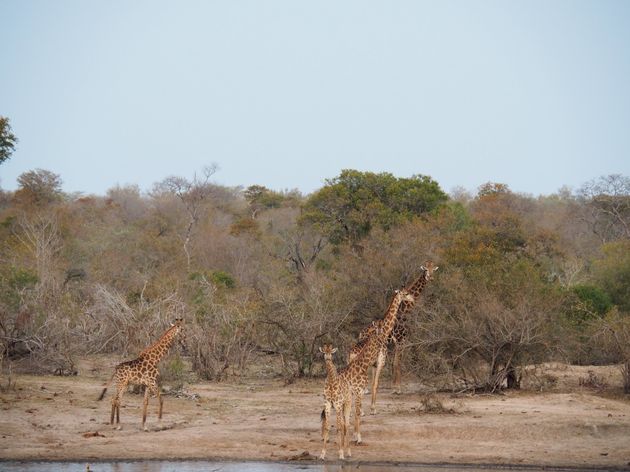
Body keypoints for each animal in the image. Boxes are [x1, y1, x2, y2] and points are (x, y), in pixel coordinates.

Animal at [350, 262, 440, 412]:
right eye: (426, 270)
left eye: (434, 269)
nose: (431, 278)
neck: (404, 311)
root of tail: (361, 333)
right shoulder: (400, 339)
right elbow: (398, 362)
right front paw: (397, 389)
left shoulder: (396, 342)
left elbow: (395, 363)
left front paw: (394, 387)